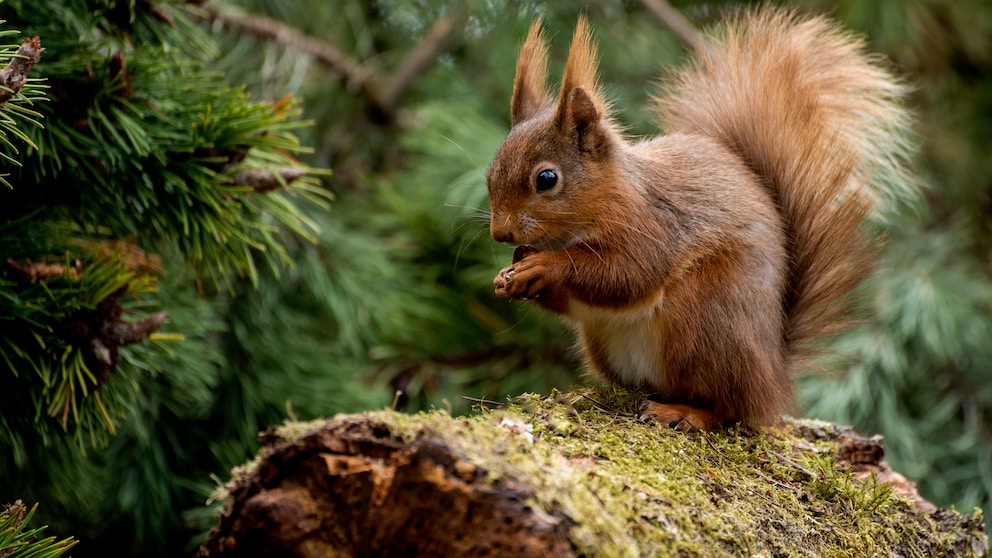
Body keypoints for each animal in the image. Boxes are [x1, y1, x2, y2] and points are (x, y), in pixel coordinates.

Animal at [488, 8, 916, 430]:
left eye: (546, 179)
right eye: (490, 173)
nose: (500, 233)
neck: (607, 197)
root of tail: (774, 375)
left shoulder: (651, 225)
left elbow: (626, 274)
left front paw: (544, 266)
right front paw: (510, 275)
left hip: (706, 319)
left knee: (727, 407)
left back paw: (683, 412)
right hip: (608, 344)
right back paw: (592, 395)